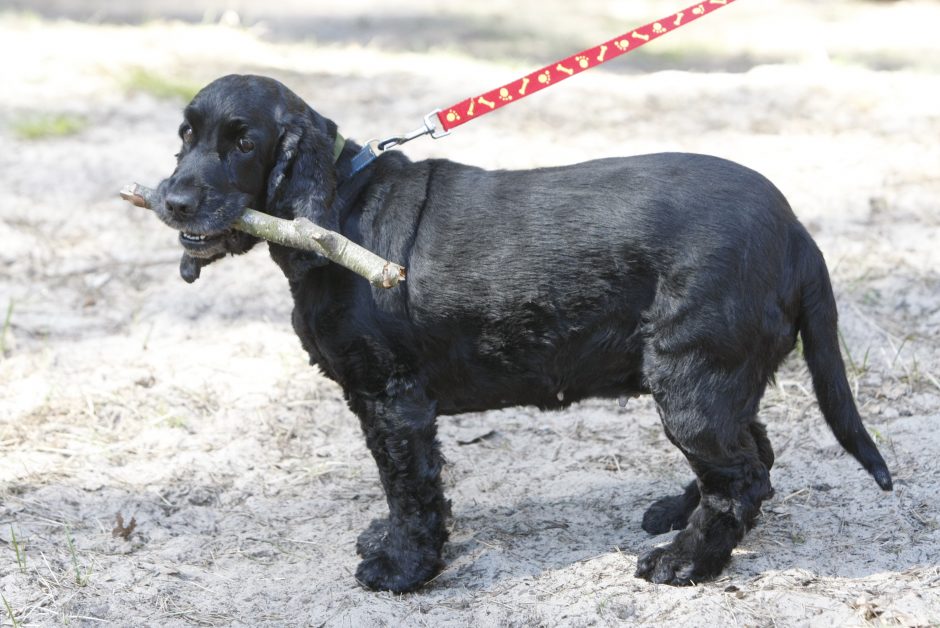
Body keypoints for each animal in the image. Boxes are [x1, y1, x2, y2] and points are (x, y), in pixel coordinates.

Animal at [152, 76, 888, 592]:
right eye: (184, 135)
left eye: (244, 141)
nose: (173, 201)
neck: (341, 205)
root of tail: (797, 234)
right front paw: (387, 544)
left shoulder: (393, 401)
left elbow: (409, 488)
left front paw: (401, 569)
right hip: (718, 379)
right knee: (751, 452)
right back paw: (677, 515)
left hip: (691, 377)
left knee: (739, 478)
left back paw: (681, 563)